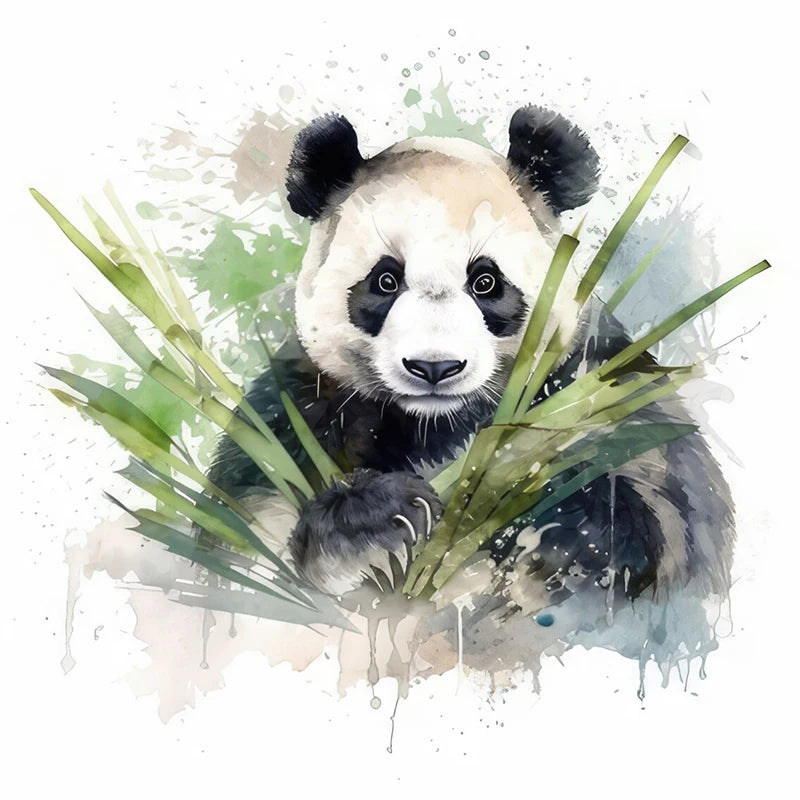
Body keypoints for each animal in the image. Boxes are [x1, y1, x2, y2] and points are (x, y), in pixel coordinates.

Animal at [202, 106, 734, 613]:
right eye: (384, 281)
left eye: (485, 282)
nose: (435, 367)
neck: (434, 425)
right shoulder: (296, 411)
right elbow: (245, 538)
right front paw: (381, 521)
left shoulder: (595, 387)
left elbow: (668, 514)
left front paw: (559, 539)